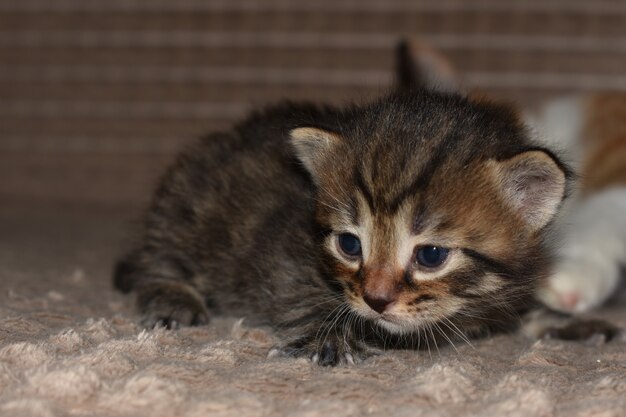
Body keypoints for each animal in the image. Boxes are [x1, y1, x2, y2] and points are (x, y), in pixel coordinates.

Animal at [114, 47, 568, 364]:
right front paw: (329, 335)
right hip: (186, 210)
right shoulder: (283, 258)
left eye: (431, 255)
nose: (376, 300)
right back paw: (172, 295)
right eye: (350, 245)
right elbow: (306, 294)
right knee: (159, 259)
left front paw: (557, 318)